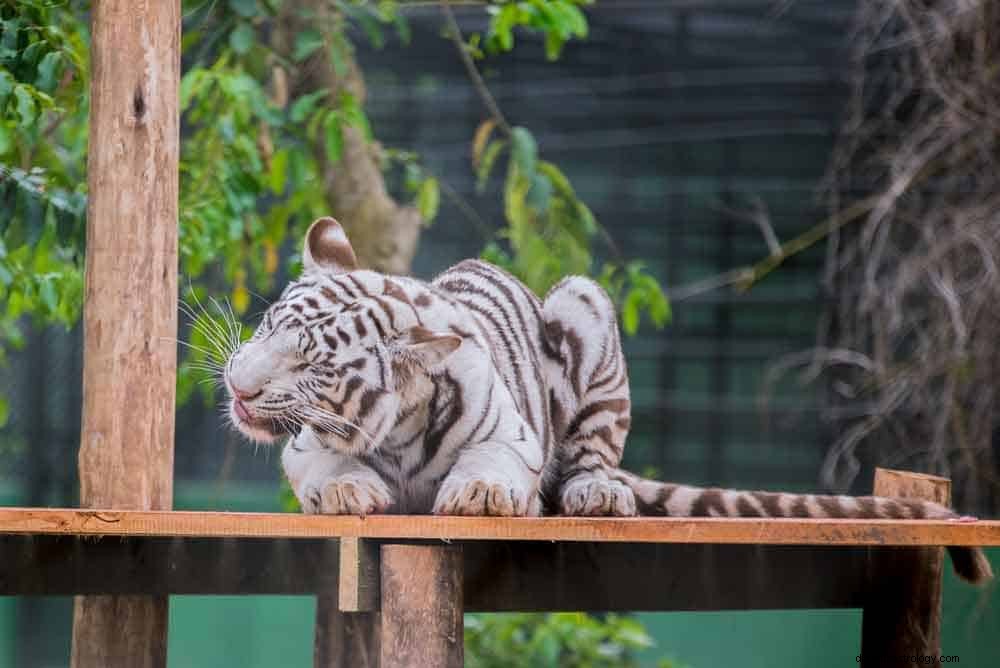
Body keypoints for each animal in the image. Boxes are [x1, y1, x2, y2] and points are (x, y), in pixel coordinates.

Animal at [225, 217, 992, 580]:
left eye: (313, 362)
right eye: (268, 326)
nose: (237, 384)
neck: (398, 428)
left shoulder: (513, 438)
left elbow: (492, 465)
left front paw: (478, 494)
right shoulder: (303, 449)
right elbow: (325, 463)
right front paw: (347, 490)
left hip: (584, 304)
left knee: (592, 459)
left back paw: (596, 492)